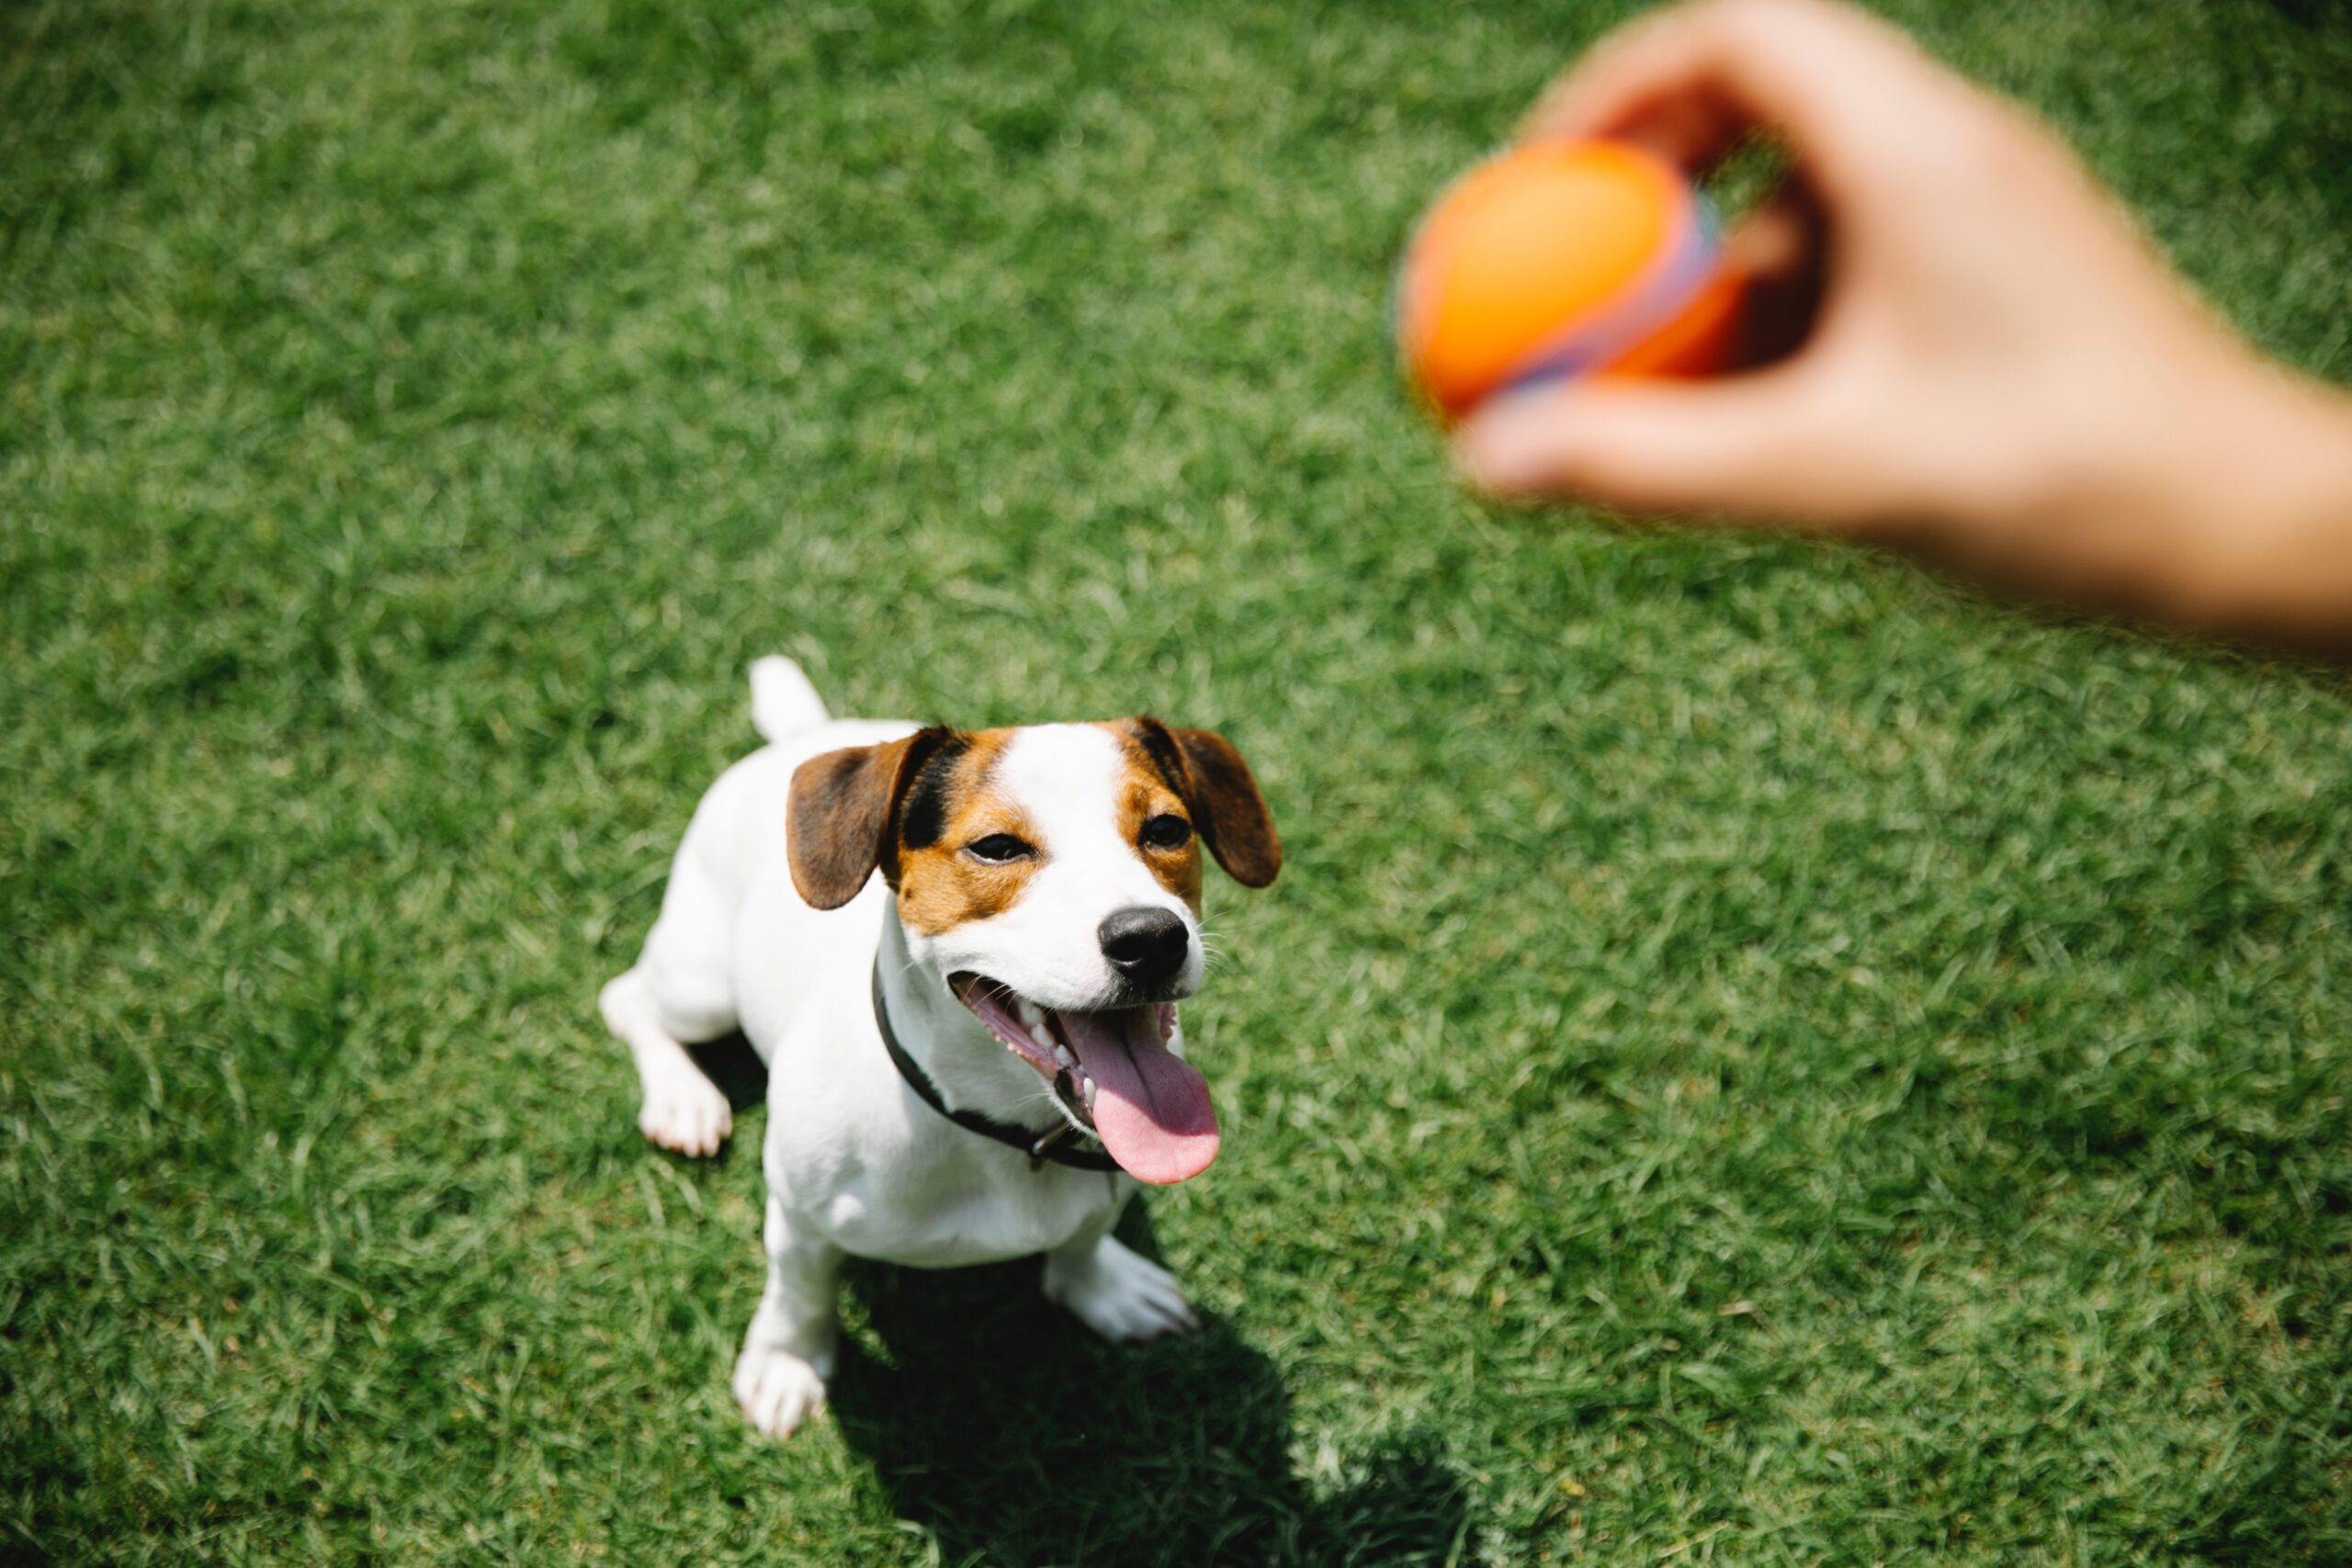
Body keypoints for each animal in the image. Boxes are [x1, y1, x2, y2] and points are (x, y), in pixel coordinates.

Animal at [597, 658, 1279, 1438]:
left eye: (1168, 829)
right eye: (997, 846)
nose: (1151, 938)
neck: (994, 1128)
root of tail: (806, 733)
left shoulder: (1104, 1186)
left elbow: (1080, 1239)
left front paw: (1103, 1287)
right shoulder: (798, 1214)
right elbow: (799, 1291)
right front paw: (786, 1361)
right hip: (701, 984)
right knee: (627, 999)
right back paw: (683, 1099)